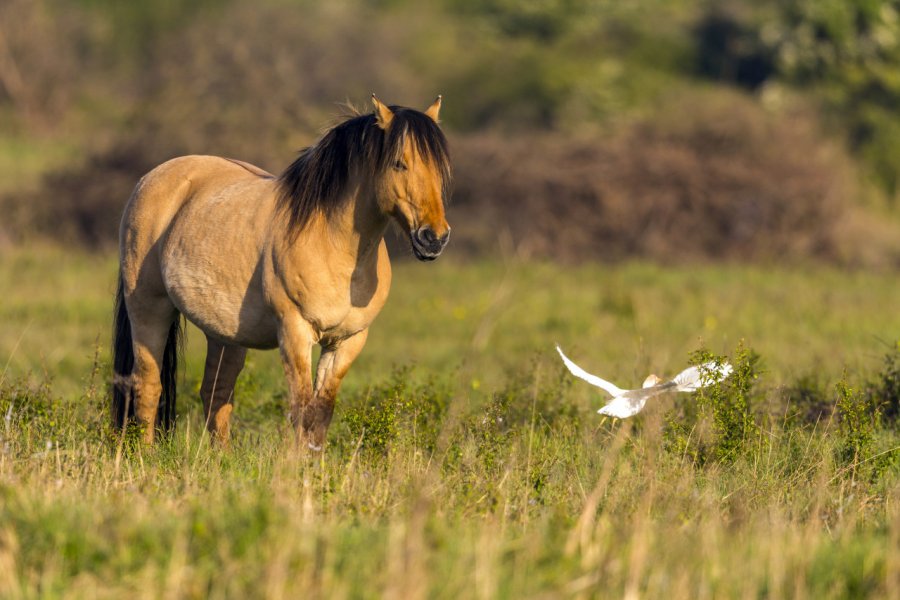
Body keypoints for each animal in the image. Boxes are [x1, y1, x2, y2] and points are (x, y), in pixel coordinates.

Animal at [112, 95, 450, 450]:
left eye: (439, 168)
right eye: (399, 163)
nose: (434, 238)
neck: (334, 243)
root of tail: (152, 179)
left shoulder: (347, 342)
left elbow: (320, 413)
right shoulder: (295, 331)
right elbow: (301, 409)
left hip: (224, 333)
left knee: (216, 395)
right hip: (149, 308)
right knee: (149, 386)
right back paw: (145, 455)